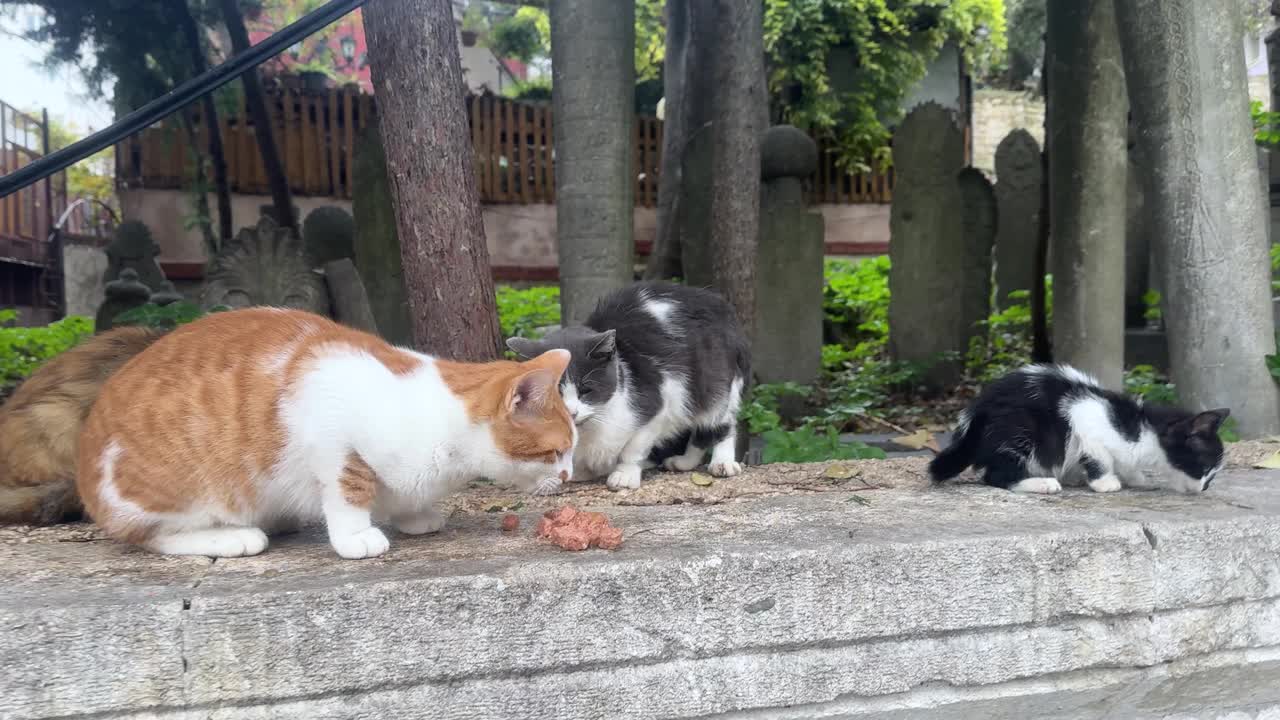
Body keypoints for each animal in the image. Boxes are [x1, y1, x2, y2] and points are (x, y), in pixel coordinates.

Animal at [77, 304, 578, 558]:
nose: (570, 476)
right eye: (556, 453)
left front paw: (415, 515)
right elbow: (349, 487)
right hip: (179, 487)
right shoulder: (331, 429)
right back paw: (232, 537)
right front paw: (356, 535)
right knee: (149, 534)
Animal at [509, 280, 747, 486]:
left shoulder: (658, 403)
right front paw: (579, 472)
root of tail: (714, 299)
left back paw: (722, 462)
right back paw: (684, 462)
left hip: (712, 380)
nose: (572, 413)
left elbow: (633, 447)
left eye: (586, 390)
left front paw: (625, 474)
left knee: (720, 420)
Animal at [931, 363, 1228, 491]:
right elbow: (1100, 457)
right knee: (995, 476)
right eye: (1204, 468)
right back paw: (1041, 483)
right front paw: (1106, 483)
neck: (1143, 429)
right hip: (1019, 429)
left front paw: (1134, 477)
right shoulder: (1085, 417)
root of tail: (977, 411)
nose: (1205, 488)